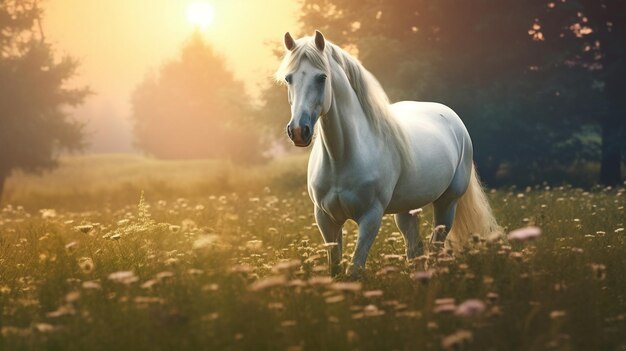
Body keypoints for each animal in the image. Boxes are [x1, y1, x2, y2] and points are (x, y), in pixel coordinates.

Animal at [276, 30, 500, 278]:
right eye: (288, 78)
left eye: (321, 77)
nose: (298, 131)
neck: (341, 158)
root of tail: (452, 118)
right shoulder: (326, 219)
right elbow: (335, 269)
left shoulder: (371, 217)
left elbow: (354, 270)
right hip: (406, 210)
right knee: (416, 250)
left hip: (447, 203)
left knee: (435, 247)